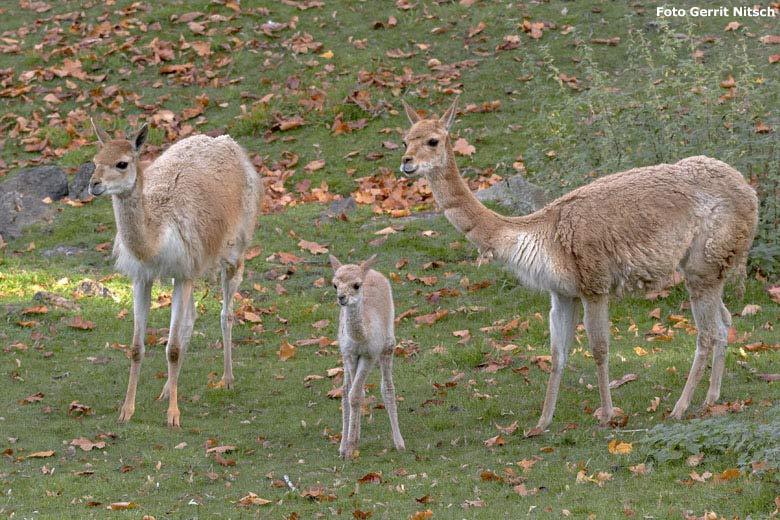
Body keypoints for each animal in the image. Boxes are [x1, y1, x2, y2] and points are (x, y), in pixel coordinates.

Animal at [90, 121, 264, 426]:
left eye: (122, 163)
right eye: (94, 161)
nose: (93, 184)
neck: (156, 235)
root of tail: (225, 141)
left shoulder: (185, 273)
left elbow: (172, 349)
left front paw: (173, 416)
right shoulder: (145, 277)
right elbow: (137, 347)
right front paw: (126, 411)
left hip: (235, 249)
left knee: (226, 314)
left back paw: (227, 379)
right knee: (191, 318)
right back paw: (166, 389)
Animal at [330, 254, 406, 458]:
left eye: (357, 285)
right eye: (335, 285)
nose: (341, 298)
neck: (361, 337)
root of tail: (370, 270)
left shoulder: (370, 355)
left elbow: (357, 394)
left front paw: (351, 446)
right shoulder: (350, 355)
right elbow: (352, 394)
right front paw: (348, 446)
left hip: (388, 346)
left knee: (388, 388)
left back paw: (399, 443)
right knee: (346, 390)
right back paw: (343, 444)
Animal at [400, 96, 760, 434]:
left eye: (432, 140)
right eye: (405, 140)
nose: (406, 163)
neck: (538, 233)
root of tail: (748, 189)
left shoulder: (594, 284)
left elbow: (599, 349)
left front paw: (607, 415)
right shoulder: (562, 293)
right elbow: (557, 355)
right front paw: (541, 424)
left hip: (705, 263)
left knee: (707, 333)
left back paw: (680, 408)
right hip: (708, 267)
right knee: (724, 322)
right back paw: (710, 398)